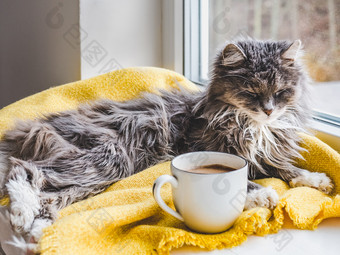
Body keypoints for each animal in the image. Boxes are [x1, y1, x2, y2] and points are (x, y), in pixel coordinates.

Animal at [0, 38, 334, 246]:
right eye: (251, 92)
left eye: (280, 92)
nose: (268, 110)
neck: (252, 126)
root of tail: (28, 129)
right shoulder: (204, 149)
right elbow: (238, 180)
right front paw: (262, 195)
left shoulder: (265, 155)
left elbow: (289, 170)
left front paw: (318, 180)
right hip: (106, 158)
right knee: (25, 172)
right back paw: (21, 216)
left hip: (93, 175)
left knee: (49, 196)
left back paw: (35, 230)